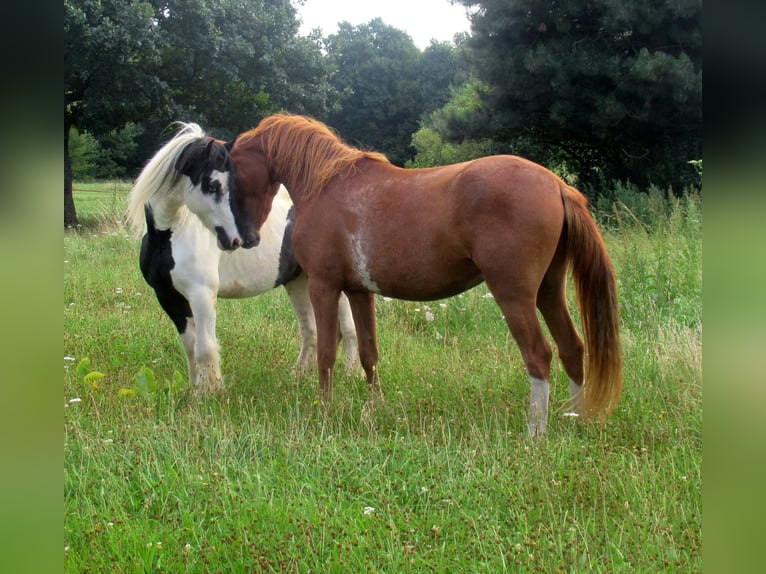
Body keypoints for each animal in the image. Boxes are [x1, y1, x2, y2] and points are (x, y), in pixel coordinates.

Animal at [127, 123, 362, 394]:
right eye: (212, 185)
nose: (241, 239)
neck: (169, 235)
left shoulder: (202, 294)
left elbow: (205, 347)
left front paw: (211, 392)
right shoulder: (168, 297)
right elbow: (190, 346)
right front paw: (195, 390)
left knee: (348, 330)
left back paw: (351, 374)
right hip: (298, 281)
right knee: (310, 331)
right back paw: (299, 376)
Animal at [219, 113, 620, 436]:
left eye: (229, 176)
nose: (242, 238)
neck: (326, 185)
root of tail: (557, 184)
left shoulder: (324, 287)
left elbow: (327, 354)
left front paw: (325, 410)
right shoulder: (359, 291)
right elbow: (368, 352)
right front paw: (376, 407)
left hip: (514, 295)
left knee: (539, 355)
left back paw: (535, 432)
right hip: (549, 291)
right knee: (572, 348)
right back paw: (574, 418)